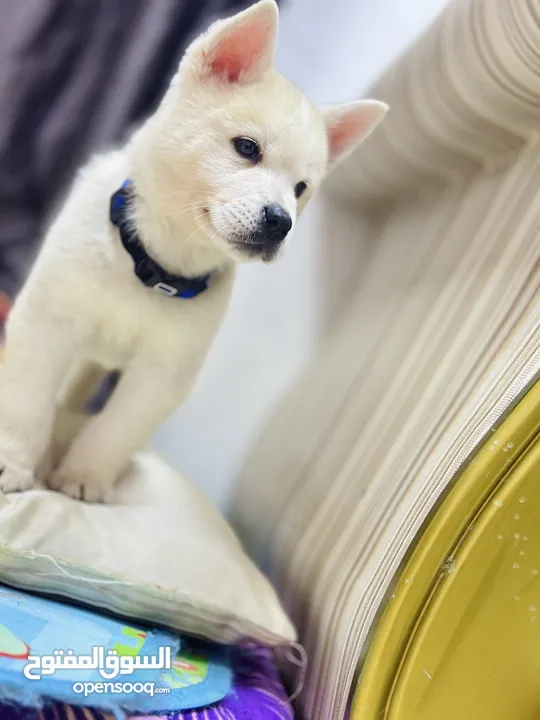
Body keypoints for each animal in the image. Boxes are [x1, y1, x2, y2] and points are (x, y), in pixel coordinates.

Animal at [0, 0, 388, 500]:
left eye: (301, 189)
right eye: (247, 148)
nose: (281, 222)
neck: (153, 262)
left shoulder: (163, 376)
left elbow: (113, 431)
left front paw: (84, 477)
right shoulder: (48, 322)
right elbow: (26, 401)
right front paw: (13, 462)